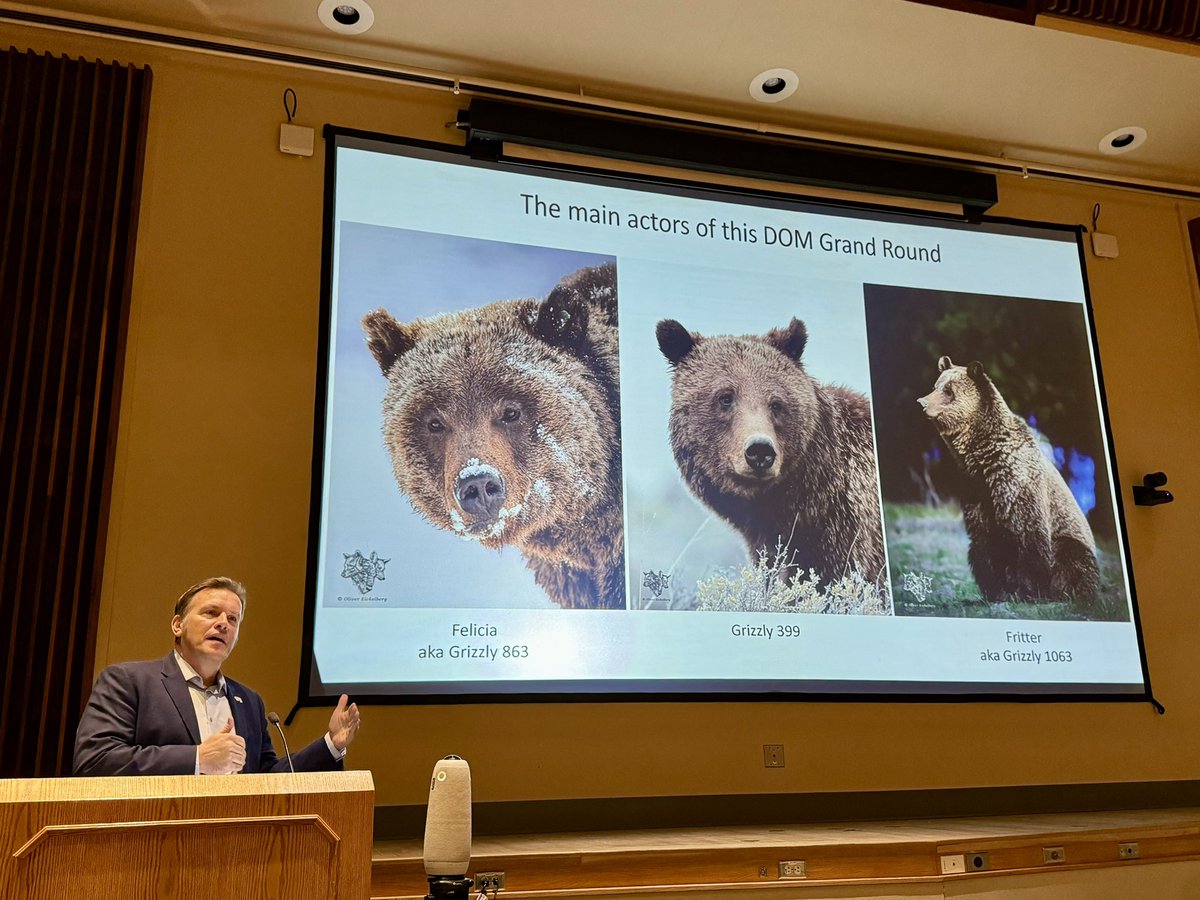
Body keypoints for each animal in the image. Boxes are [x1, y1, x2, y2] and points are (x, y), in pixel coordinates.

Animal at [921, 355, 1099, 607]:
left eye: (949, 390)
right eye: (936, 386)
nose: (922, 402)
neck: (982, 457)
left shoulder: (1016, 481)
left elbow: (1027, 537)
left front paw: (1026, 592)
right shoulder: (975, 487)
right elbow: (985, 544)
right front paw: (999, 591)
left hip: (1074, 543)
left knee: (1071, 556)